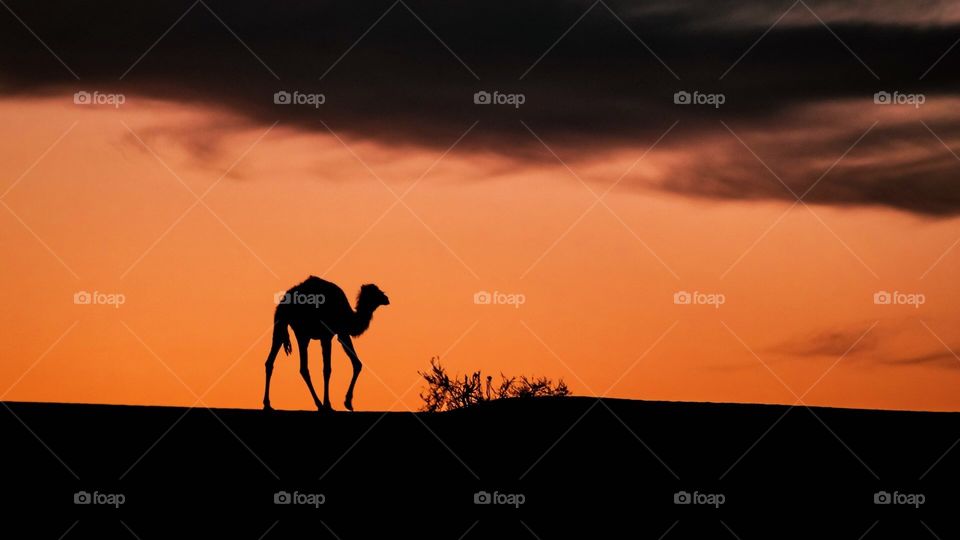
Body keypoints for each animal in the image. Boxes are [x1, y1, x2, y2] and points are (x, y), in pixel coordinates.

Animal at [262, 276, 390, 412]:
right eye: (375, 292)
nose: (387, 298)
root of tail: (283, 304)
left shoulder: (342, 333)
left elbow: (357, 364)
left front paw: (348, 403)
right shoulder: (327, 335)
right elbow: (327, 369)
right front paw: (329, 404)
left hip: (283, 328)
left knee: (272, 362)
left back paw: (267, 404)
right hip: (301, 333)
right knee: (303, 368)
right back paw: (319, 404)